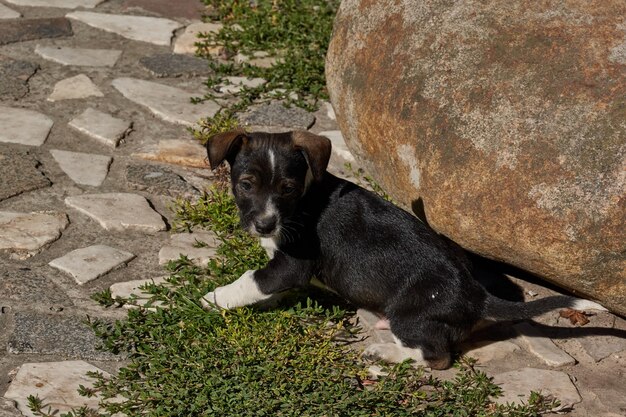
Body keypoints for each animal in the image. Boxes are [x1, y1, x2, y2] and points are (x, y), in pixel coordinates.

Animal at [200, 129, 604, 368]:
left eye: (287, 188)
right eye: (246, 184)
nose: (265, 225)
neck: (300, 203)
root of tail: (477, 296)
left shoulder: (292, 264)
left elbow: (249, 280)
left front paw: (213, 298)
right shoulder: (285, 270)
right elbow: (265, 285)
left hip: (411, 317)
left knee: (435, 357)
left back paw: (385, 352)